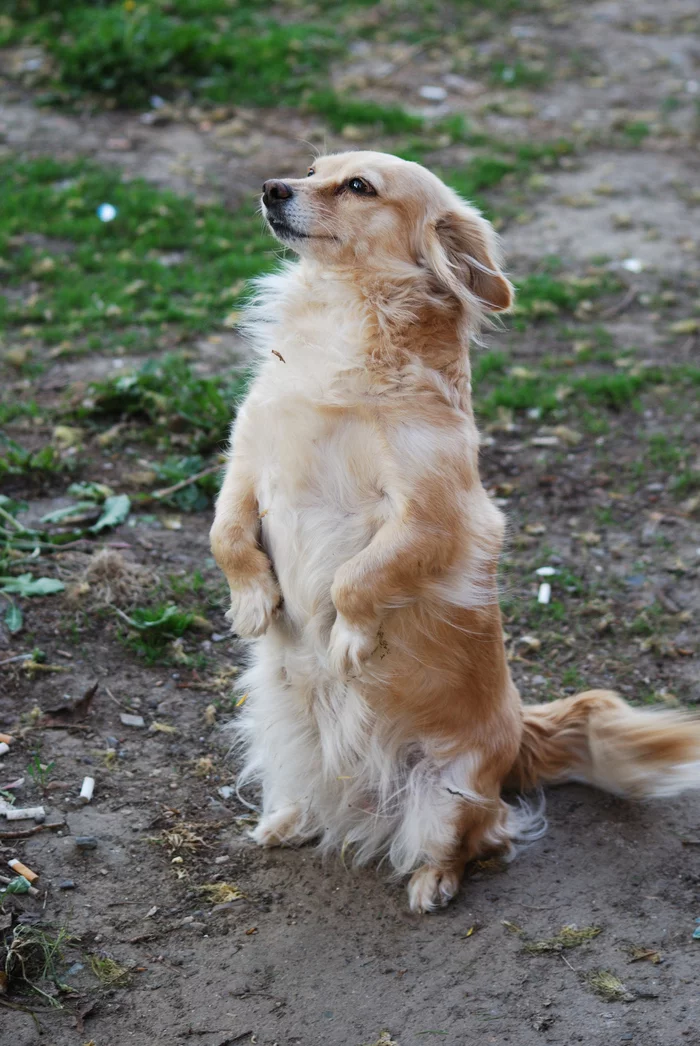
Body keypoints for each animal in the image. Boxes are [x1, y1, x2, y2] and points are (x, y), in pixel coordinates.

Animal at [210, 151, 698, 912]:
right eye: (315, 168)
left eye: (359, 188)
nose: (272, 188)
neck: (341, 321)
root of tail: (519, 738)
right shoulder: (248, 463)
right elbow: (226, 535)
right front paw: (253, 601)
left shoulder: (434, 517)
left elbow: (357, 580)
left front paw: (349, 638)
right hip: (278, 734)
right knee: (315, 797)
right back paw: (287, 819)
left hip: (449, 794)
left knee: (479, 841)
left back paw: (431, 883)